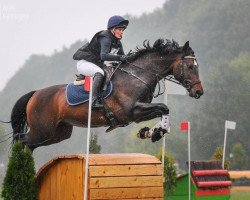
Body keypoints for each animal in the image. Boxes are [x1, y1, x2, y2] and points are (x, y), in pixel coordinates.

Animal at [9, 39, 203, 151]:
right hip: (42, 130)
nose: (199, 92)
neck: (137, 76)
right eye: (190, 67)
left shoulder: (135, 115)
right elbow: (163, 107)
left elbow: (163, 110)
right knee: (22, 140)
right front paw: (155, 132)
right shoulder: (131, 111)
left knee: (30, 145)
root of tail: (35, 94)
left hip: (57, 133)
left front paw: (151, 132)